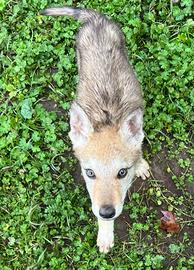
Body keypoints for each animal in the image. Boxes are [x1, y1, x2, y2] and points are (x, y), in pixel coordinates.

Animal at [41, 6, 150, 253]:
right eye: (90, 173)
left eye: (122, 172)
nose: (107, 212)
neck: (108, 117)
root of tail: (95, 19)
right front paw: (106, 235)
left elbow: (139, 151)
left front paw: (141, 165)